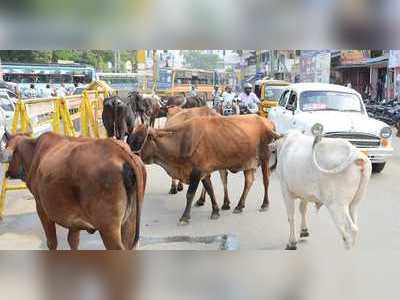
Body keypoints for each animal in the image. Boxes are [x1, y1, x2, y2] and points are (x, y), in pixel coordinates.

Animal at [3, 132, 147, 250]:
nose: (7, 172)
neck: (34, 152)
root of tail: (119, 152)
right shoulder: (74, 220)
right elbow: (73, 241)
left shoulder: (42, 210)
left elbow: (52, 243)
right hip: (129, 223)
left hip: (108, 229)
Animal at [128, 113, 278, 224]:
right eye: (130, 138)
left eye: (138, 139)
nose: (129, 156)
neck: (182, 141)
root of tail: (267, 121)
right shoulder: (204, 172)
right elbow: (210, 190)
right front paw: (215, 211)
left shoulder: (196, 172)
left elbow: (190, 194)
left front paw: (185, 217)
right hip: (249, 163)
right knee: (249, 181)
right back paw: (239, 206)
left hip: (265, 158)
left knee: (266, 180)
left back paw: (265, 204)